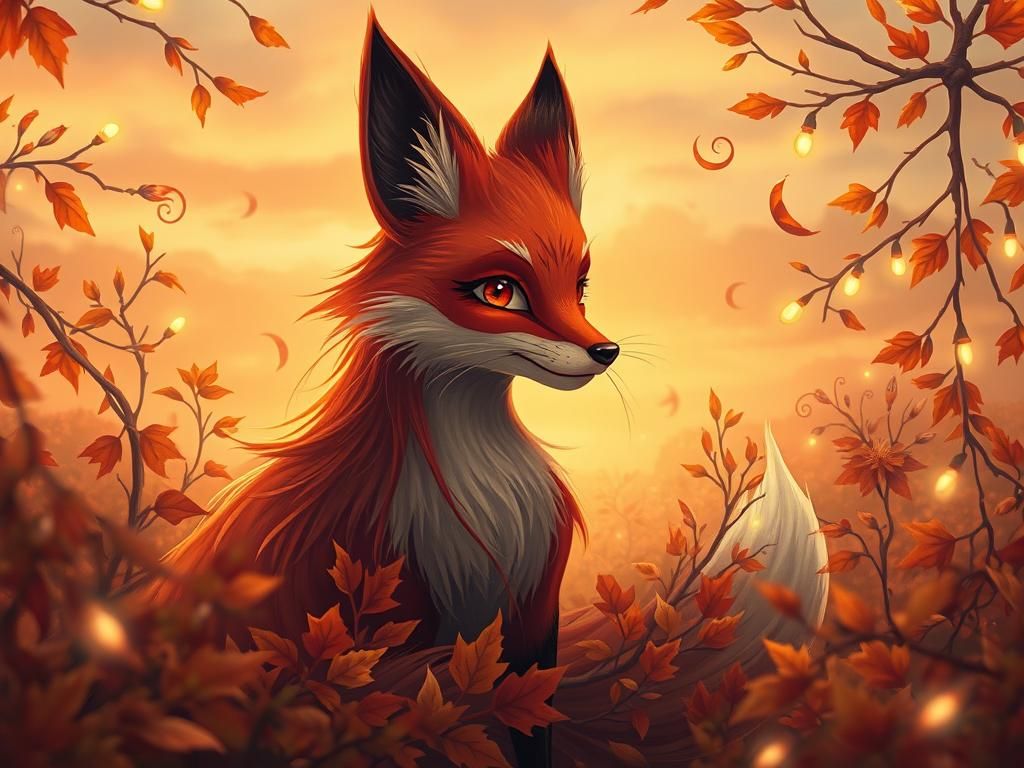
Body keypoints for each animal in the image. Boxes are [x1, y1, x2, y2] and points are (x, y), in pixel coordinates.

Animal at [144, 11, 828, 767]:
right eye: (500, 291)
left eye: (580, 285)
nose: (606, 350)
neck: (484, 507)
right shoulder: (385, 632)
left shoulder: (528, 633)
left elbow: (531, 731)